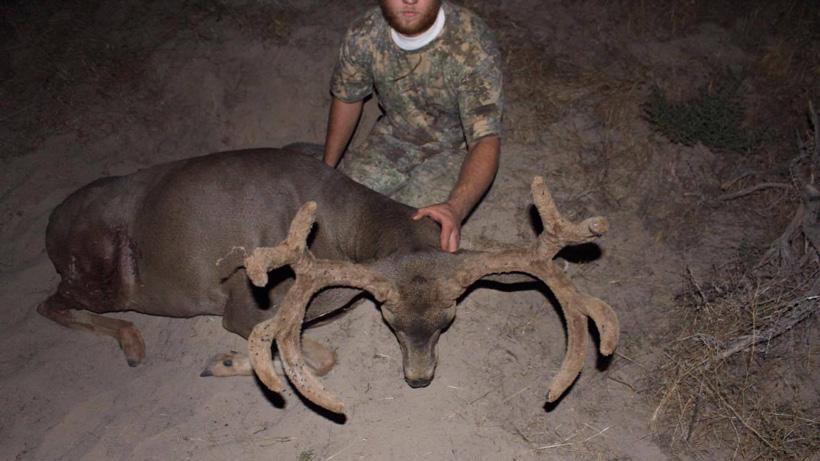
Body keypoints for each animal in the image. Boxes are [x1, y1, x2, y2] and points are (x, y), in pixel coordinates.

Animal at [39, 147, 619, 414]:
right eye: (391, 322)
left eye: (447, 320)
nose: (418, 379)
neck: (336, 231)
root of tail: (50, 223)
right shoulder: (242, 304)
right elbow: (311, 355)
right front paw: (222, 361)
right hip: (103, 277)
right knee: (49, 304)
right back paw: (132, 342)